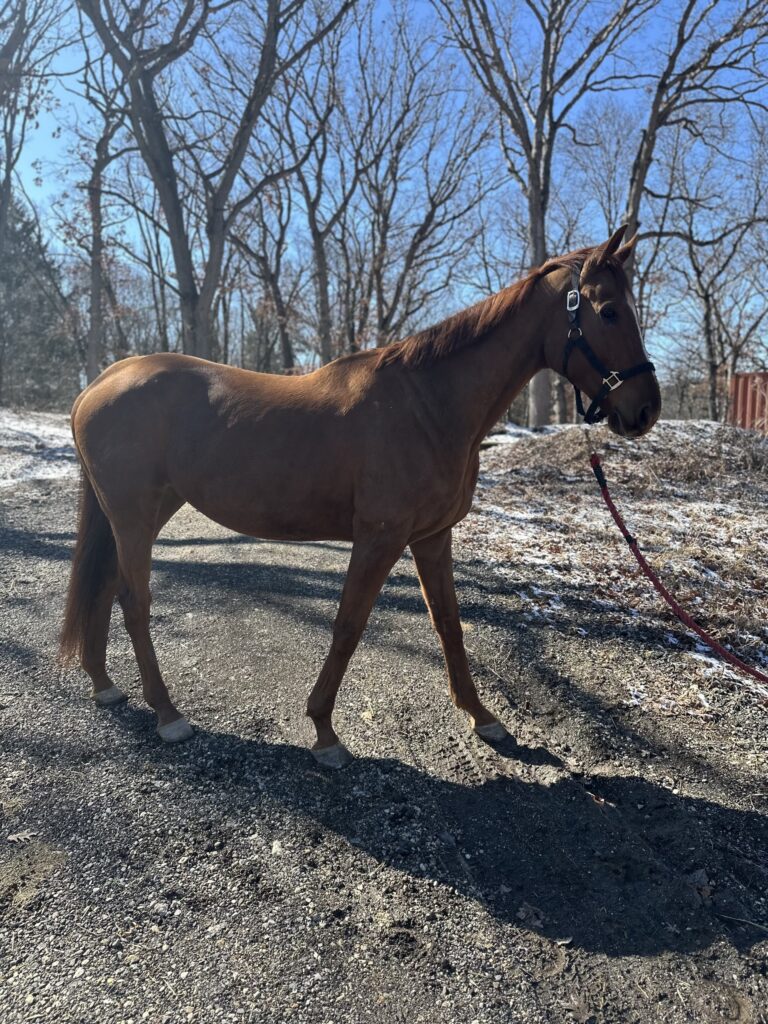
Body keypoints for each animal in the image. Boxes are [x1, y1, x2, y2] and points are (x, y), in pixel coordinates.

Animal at [60, 226, 663, 770]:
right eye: (610, 311)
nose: (645, 409)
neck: (427, 404)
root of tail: (99, 383)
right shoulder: (379, 538)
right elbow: (348, 625)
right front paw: (324, 732)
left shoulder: (431, 538)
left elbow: (449, 624)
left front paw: (482, 717)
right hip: (135, 518)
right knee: (134, 601)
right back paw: (168, 715)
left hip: (143, 513)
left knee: (106, 585)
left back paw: (104, 683)